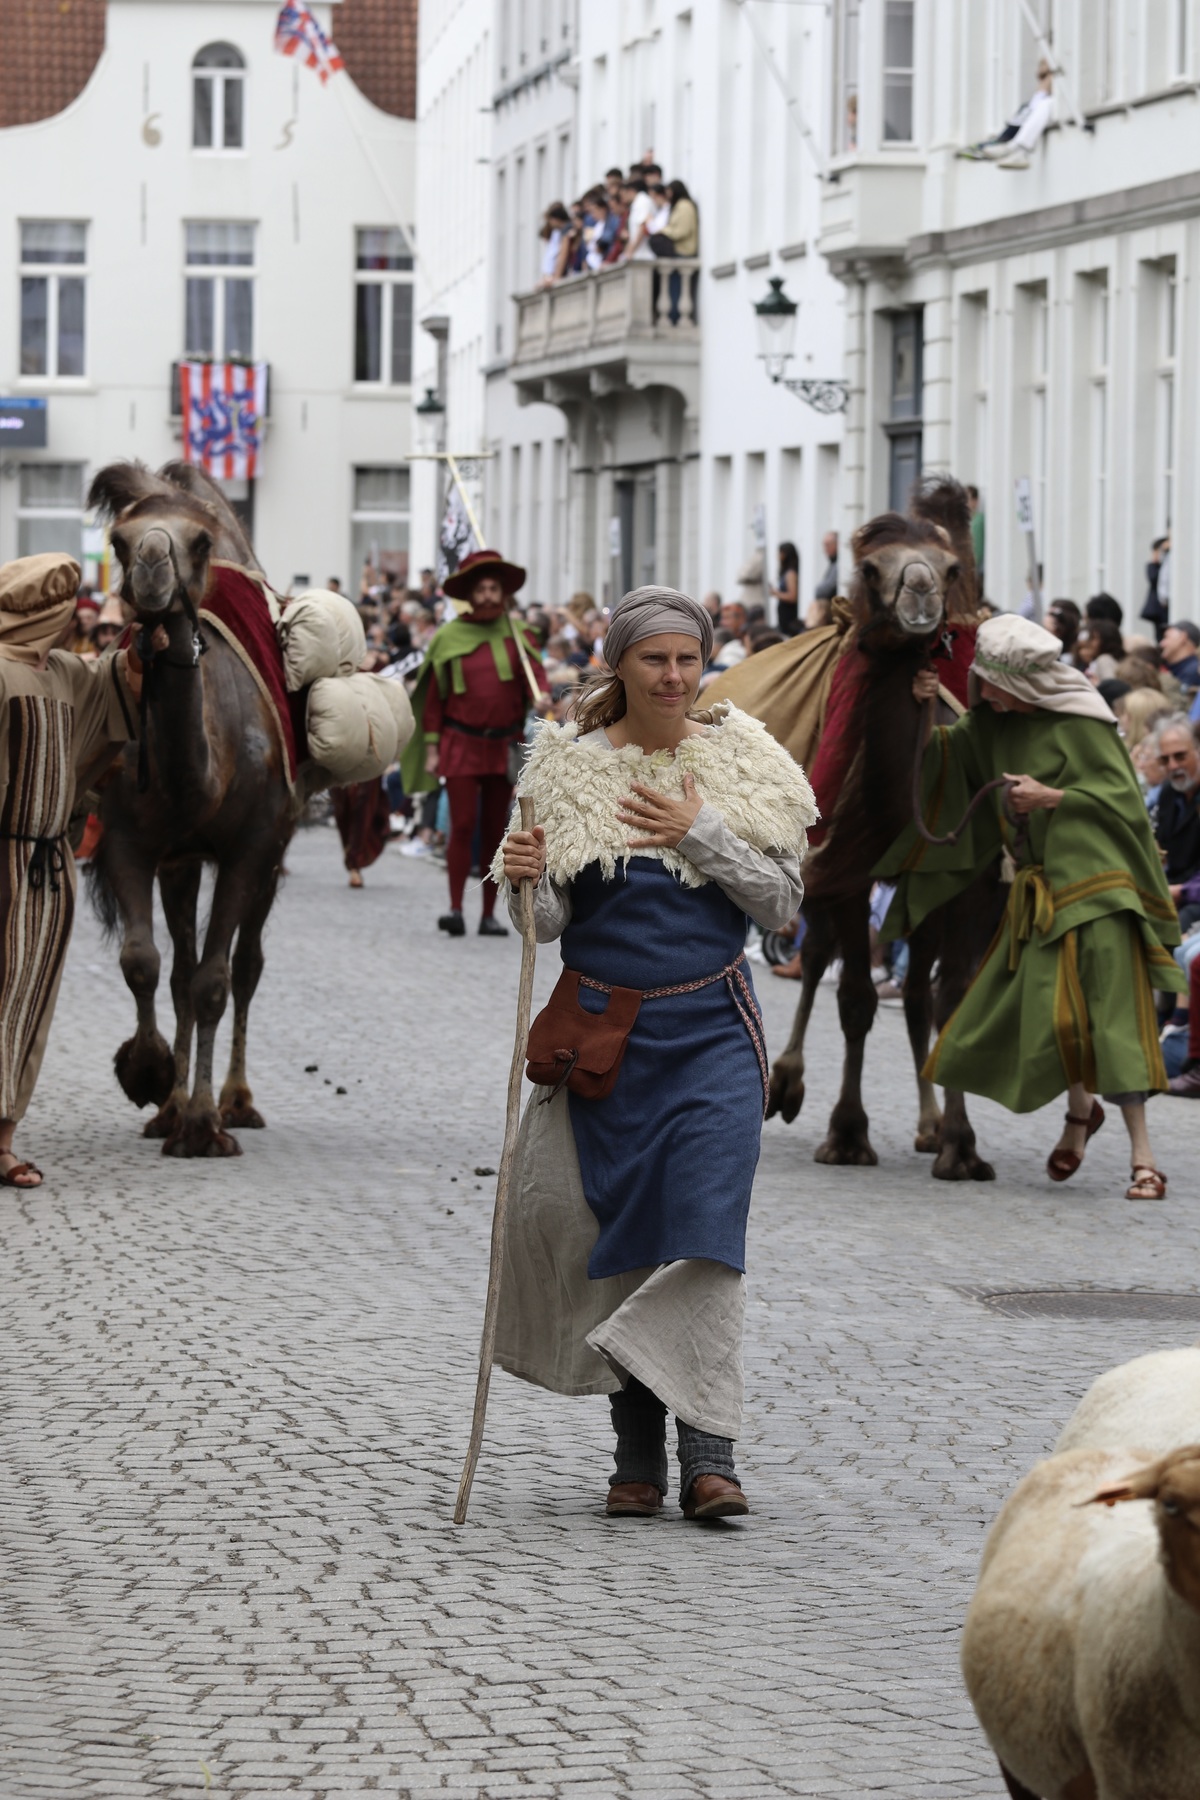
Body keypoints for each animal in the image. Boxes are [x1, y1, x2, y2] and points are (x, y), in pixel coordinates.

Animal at [88, 460, 306, 1157]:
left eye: (201, 543)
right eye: (119, 541)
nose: (154, 566)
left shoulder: (250, 849)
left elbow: (215, 982)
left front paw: (205, 1125)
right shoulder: (131, 843)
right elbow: (145, 964)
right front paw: (151, 1077)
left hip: (276, 851)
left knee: (246, 965)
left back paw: (236, 1102)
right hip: (180, 863)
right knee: (180, 967)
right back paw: (171, 1106)